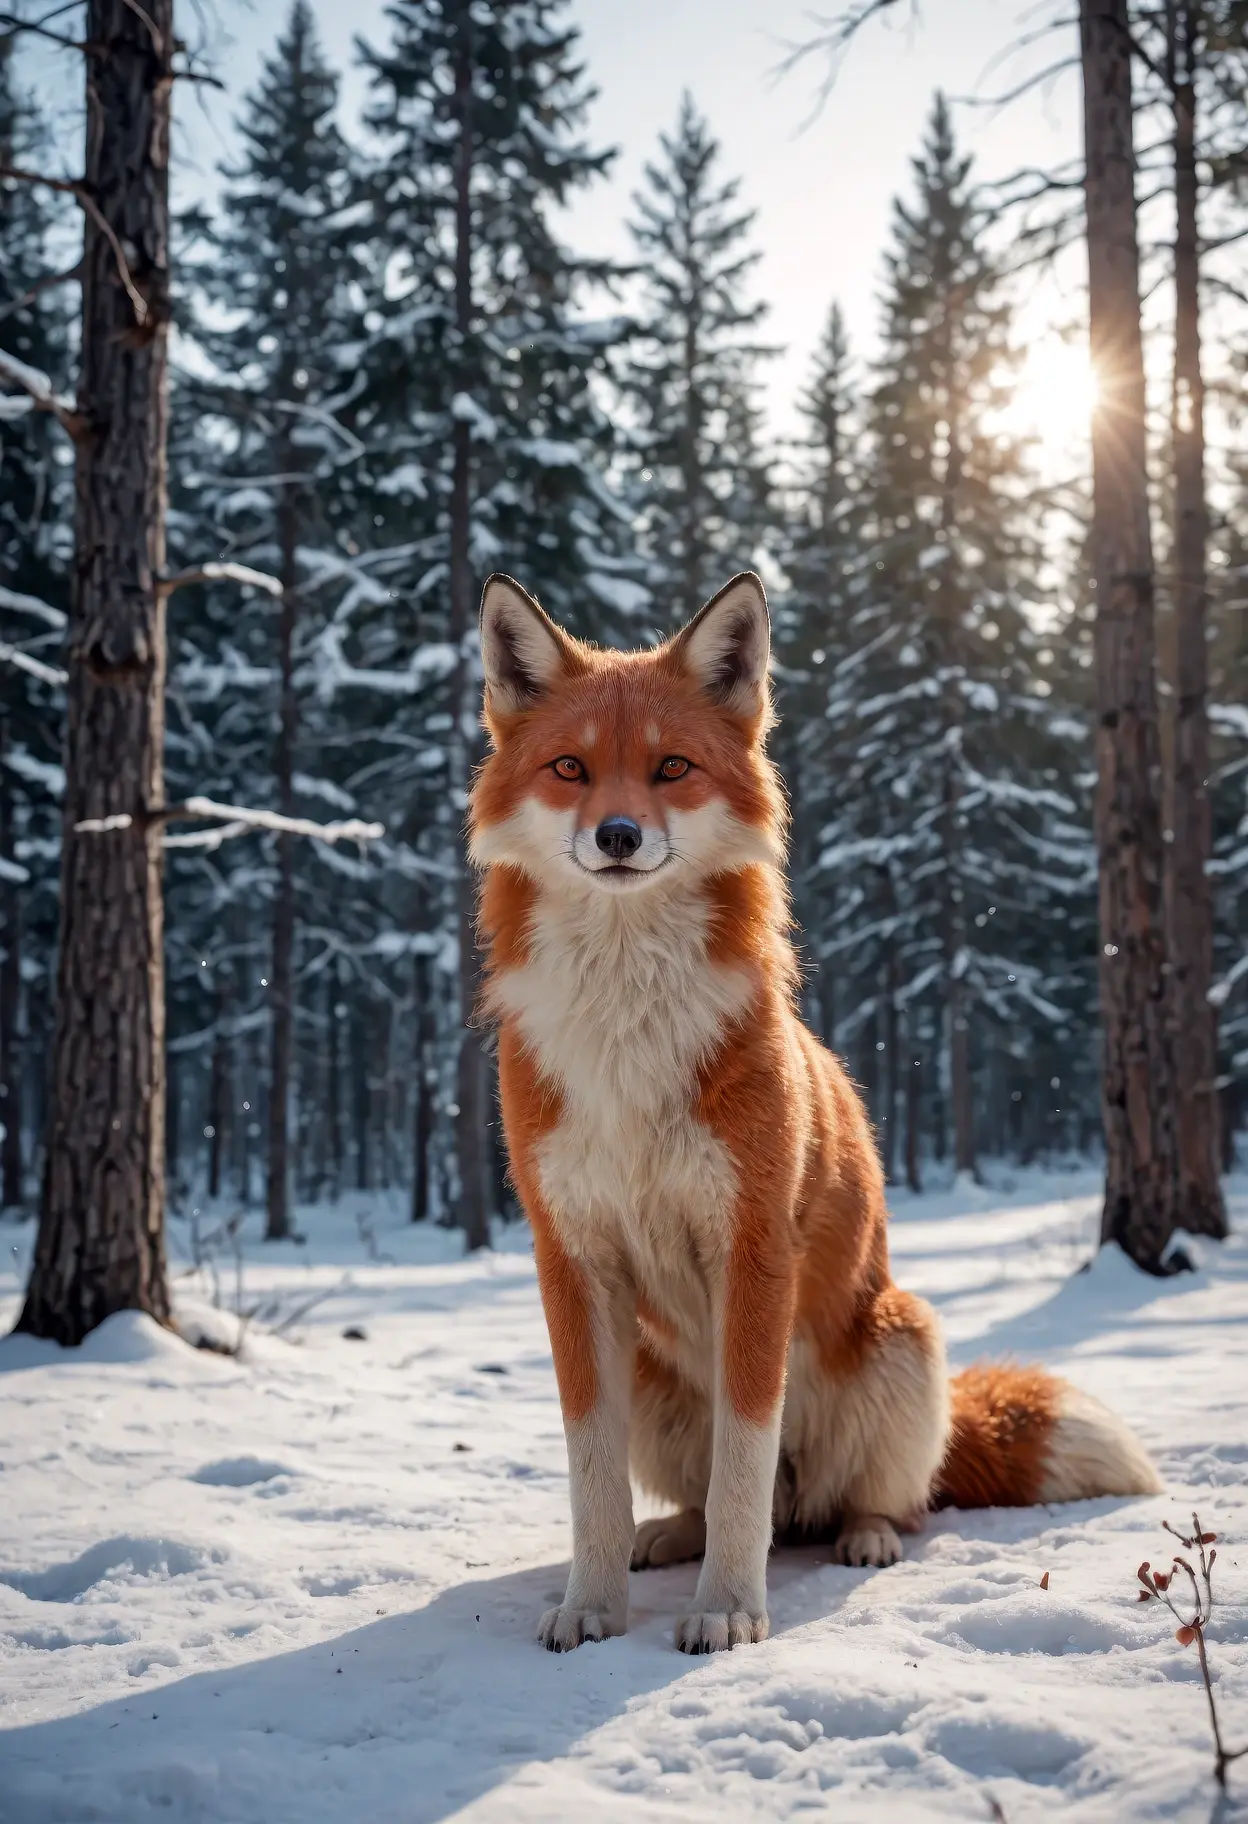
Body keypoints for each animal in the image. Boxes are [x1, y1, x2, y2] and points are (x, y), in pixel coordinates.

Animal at [468, 569, 1163, 1656]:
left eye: (671, 768)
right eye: (570, 768)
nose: (618, 837)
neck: (628, 1029)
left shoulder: (754, 1249)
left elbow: (746, 1465)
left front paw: (727, 1610)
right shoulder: (571, 1259)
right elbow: (594, 1478)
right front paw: (593, 1605)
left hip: (903, 1337)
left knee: (871, 1502)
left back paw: (862, 1538)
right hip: (657, 1381)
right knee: (724, 1500)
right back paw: (669, 1538)